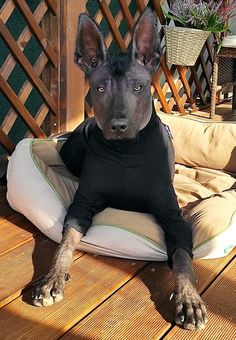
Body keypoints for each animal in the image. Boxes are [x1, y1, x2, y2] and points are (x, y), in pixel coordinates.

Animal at [32, 9, 206, 330]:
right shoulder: (81, 206)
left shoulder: (174, 217)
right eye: (100, 88)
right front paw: (52, 278)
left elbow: (182, 257)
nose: (118, 126)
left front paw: (189, 299)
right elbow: (65, 242)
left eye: (138, 87)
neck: (126, 150)